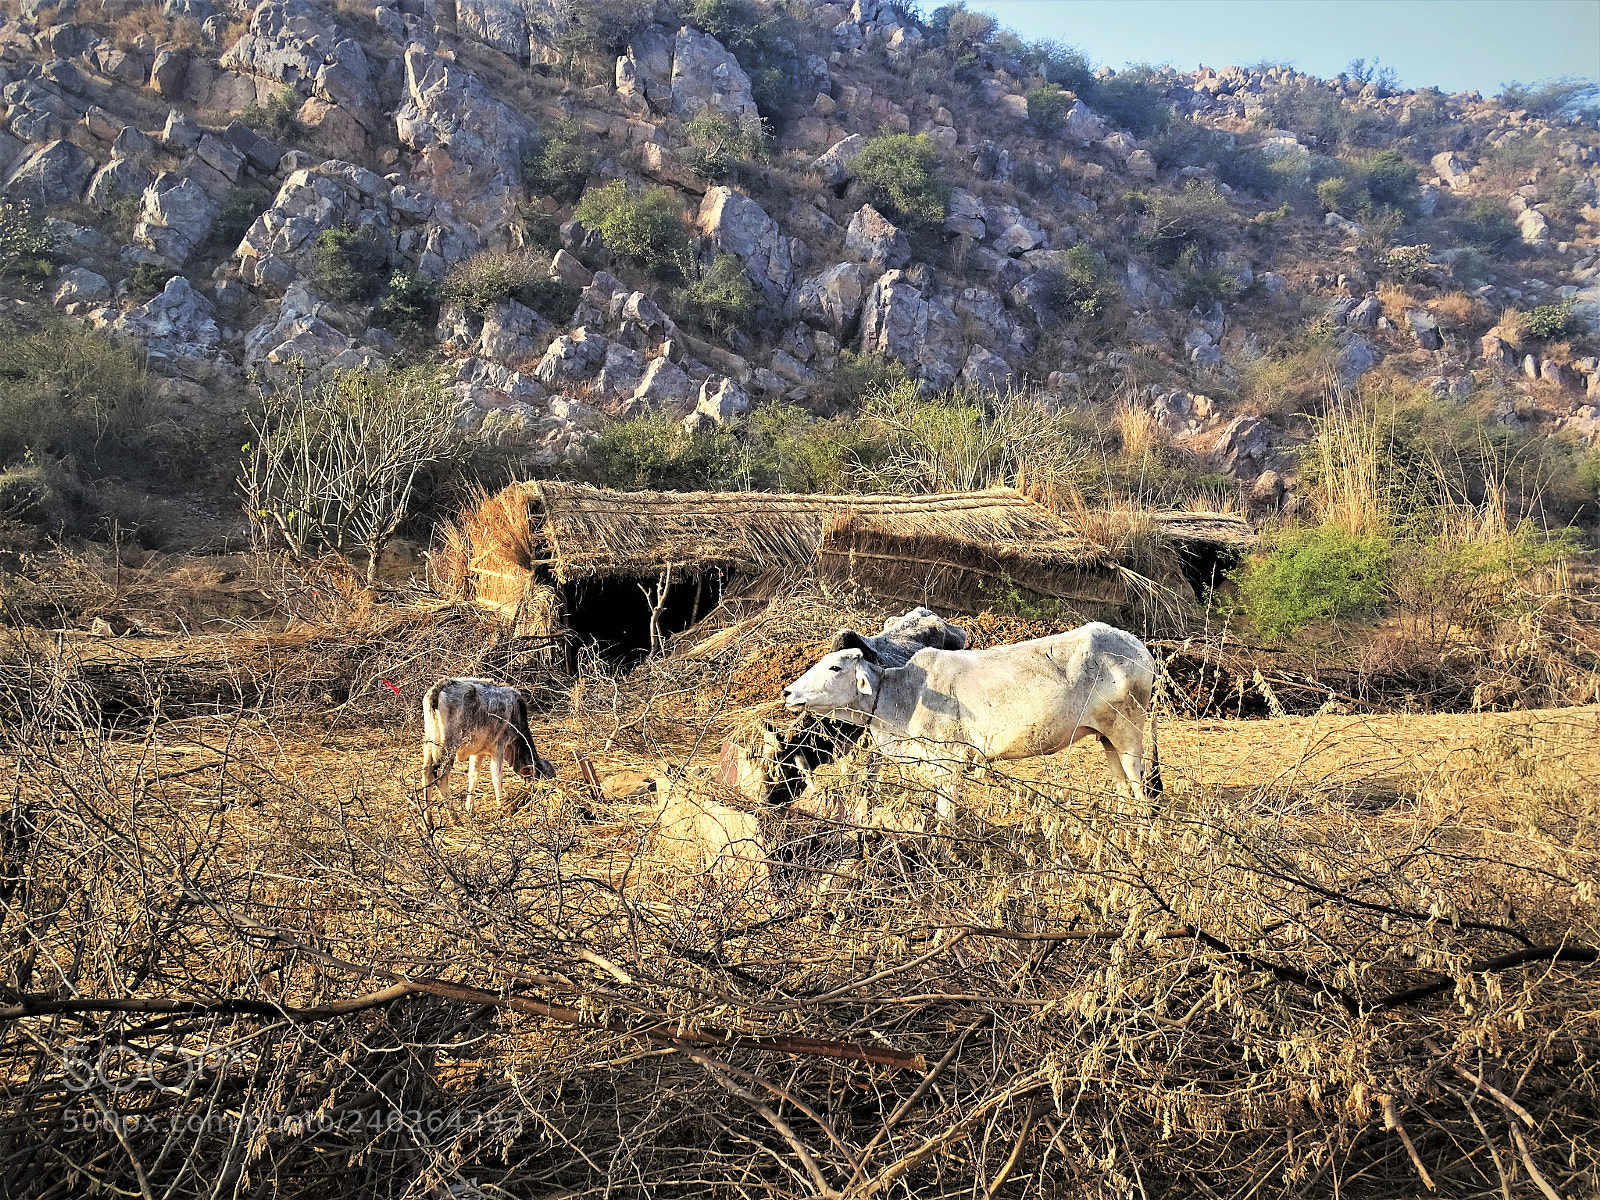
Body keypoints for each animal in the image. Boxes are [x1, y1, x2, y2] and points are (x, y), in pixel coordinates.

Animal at [421, 677, 556, 822]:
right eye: (542, 780)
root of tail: (439, 688)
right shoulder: (499, 747)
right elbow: (497, 777)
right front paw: (501, 806)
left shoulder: (478, 752)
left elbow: (473, 776)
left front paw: (469, 808)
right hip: (449, 744)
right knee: (441, 775)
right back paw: (454, 817)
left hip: (429, 742)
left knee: (427, 773)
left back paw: (428, 819)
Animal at [780, 621, 1163, 817]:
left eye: (835, 667)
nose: (787, 693)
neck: (905, 693)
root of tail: (1139, 647)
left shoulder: (949, 760)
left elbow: (944, 814)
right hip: (1106, 737)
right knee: (1123, 786)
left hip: (1129, 732)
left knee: (1139, 784)